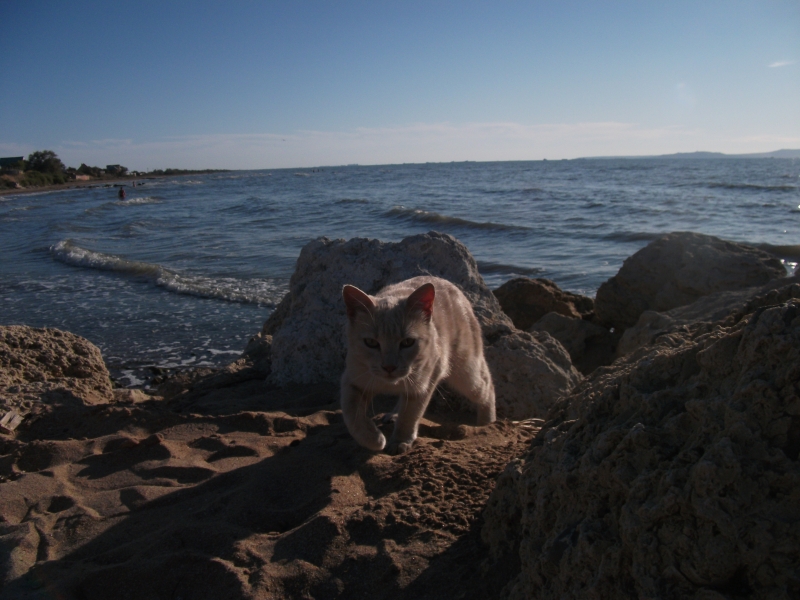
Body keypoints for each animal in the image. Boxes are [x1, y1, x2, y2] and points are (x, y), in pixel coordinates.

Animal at [342, 276, 496, 454]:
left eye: (408, 342)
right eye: (371, 342)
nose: (389, 367)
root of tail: (446, 282)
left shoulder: (425, 381)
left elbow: (411, 413)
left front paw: (400, 440)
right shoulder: (353, 381)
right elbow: (352, 415)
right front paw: (373, 439)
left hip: (466, 373)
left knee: (487, 385)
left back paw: (487, 422)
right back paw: (394, 414)